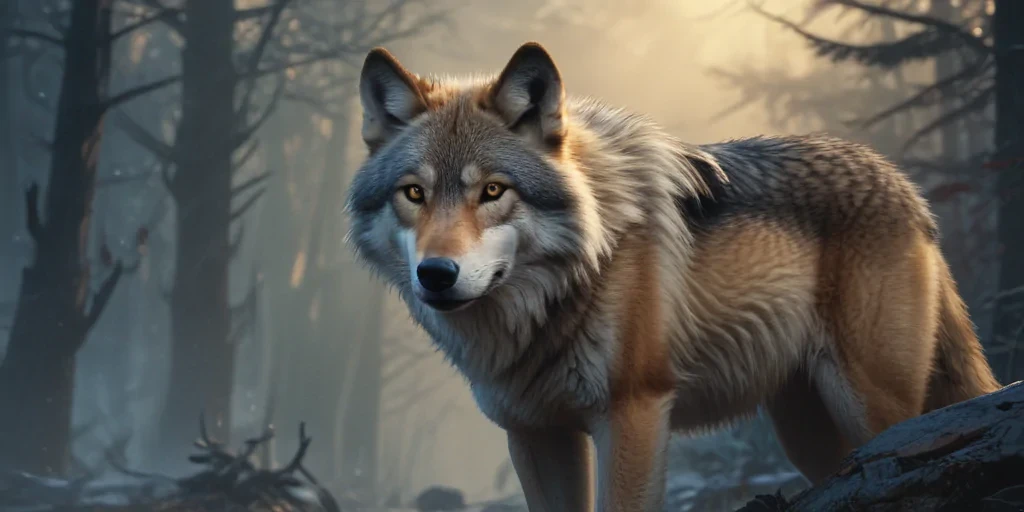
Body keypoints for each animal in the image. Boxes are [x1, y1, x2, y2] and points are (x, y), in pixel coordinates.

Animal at [345, 42, 1002, 511]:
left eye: (492, 191)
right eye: (414, 194)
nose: (436, 274)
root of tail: (904, 185)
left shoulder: (632, 414)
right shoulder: (535, 435)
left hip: (877, 411)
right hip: (811, 433)